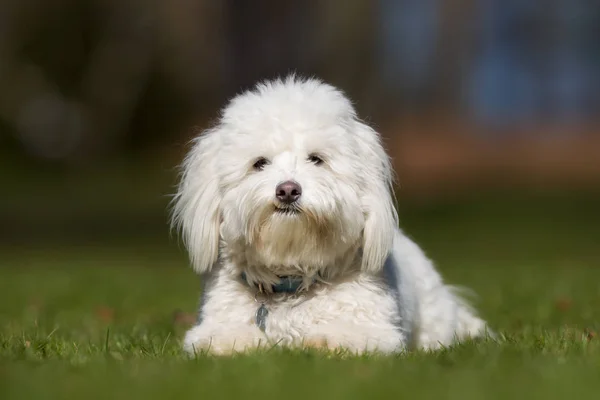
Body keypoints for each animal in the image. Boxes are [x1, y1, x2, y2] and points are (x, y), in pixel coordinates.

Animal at [171, 76, 490, 354]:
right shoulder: (214, 327)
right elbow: (225, 339)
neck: (292, 283)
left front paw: (317, 342)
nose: (288, 190)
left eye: (317, 159)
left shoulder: (373, 331)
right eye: (259, 163)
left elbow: (337, 337)